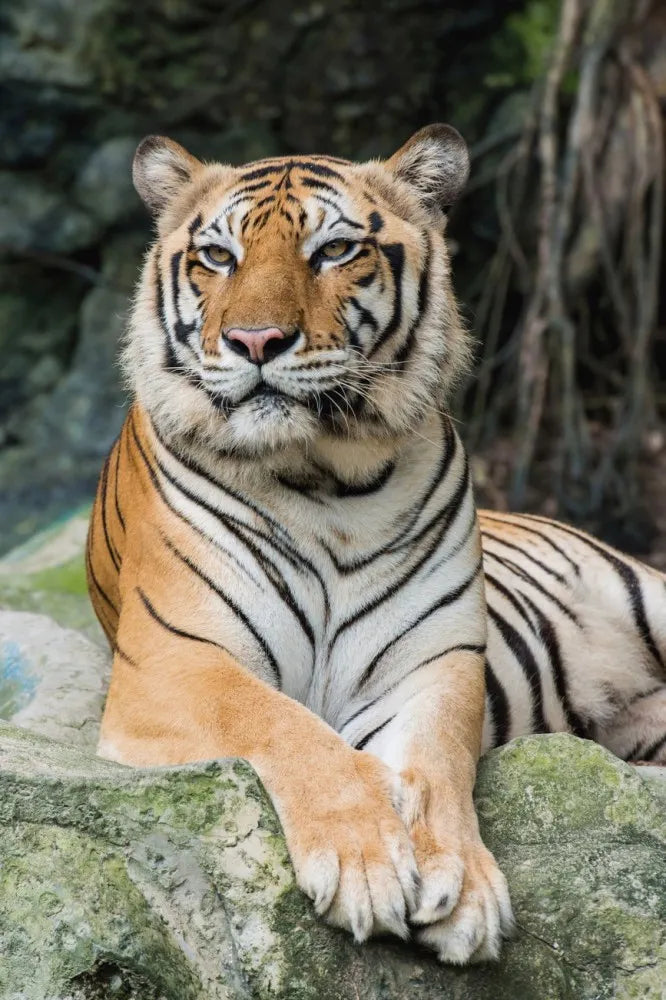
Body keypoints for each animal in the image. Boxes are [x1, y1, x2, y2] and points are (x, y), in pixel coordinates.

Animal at [87, 124, 666, 966]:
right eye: (219, 257)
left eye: (333, 250)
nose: (255, 340)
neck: (328, 479)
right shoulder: (175, 661)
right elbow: (286, 726)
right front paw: (366, 867)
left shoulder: (431, 663)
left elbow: (434, 766)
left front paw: (458, 886)